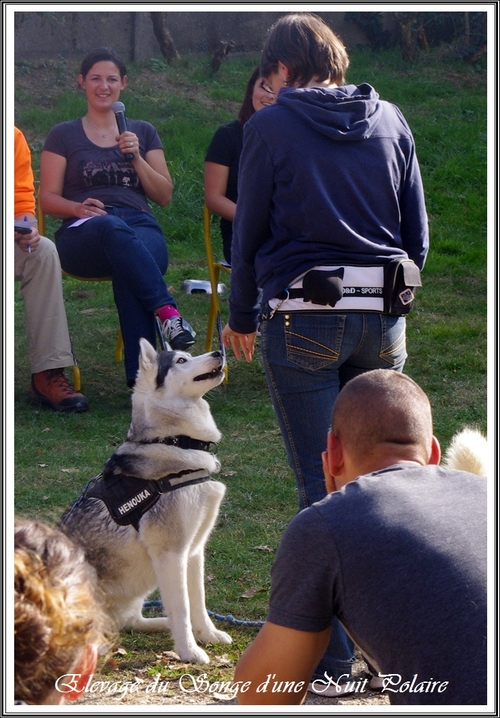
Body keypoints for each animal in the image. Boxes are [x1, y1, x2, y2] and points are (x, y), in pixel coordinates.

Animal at [60, 340, 230, 668]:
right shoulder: (171, 554)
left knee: (130, 621)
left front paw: (207, 634)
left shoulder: (194, 551)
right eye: (181, 361)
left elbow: (198, 603)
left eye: (189, 355)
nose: (218, 352)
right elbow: (182, 607)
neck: (174, 441)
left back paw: (159, 623)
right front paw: (189, 651)